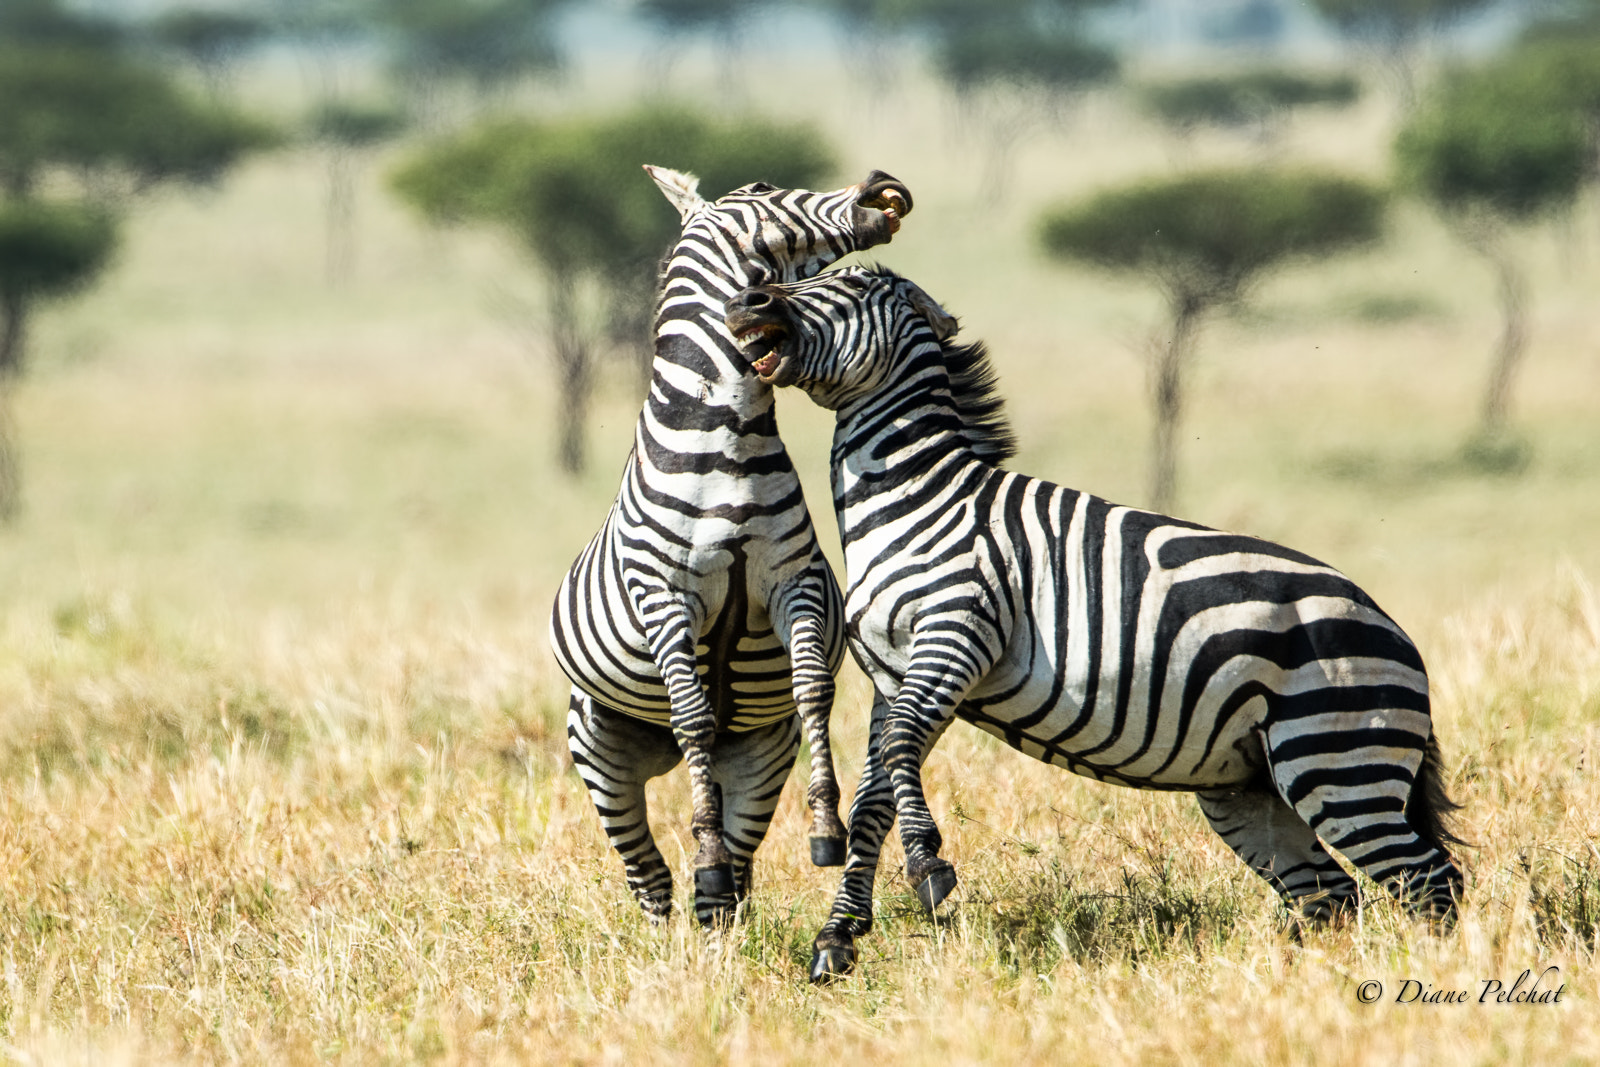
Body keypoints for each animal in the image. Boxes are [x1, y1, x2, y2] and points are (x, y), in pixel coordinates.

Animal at [547, 167, 915, 927]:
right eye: (766, 187)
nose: (883, 185)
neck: (729, 430)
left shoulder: (793, 584)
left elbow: (813, 689)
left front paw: (827, 828)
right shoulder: (665, 595)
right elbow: (690, 712)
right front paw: (707, 846)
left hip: (757, 755)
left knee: (732, 873)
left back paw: (719, 910)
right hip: (598, 748)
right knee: (648, 868)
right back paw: (678, 911)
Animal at [726, 265, 1465, 979]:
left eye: (847, 284)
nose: (744, 299)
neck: (915, 499)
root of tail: (1398, 634)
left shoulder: (957, 632)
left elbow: (904, 748)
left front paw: (928, 864)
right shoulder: (890, 672)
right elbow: (874, 798)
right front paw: (838, 937)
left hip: (1339, 761)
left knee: (1429, 882)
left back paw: (1431, 974)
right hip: (1252, 788)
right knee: (1334, 896)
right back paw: (1306, 983)